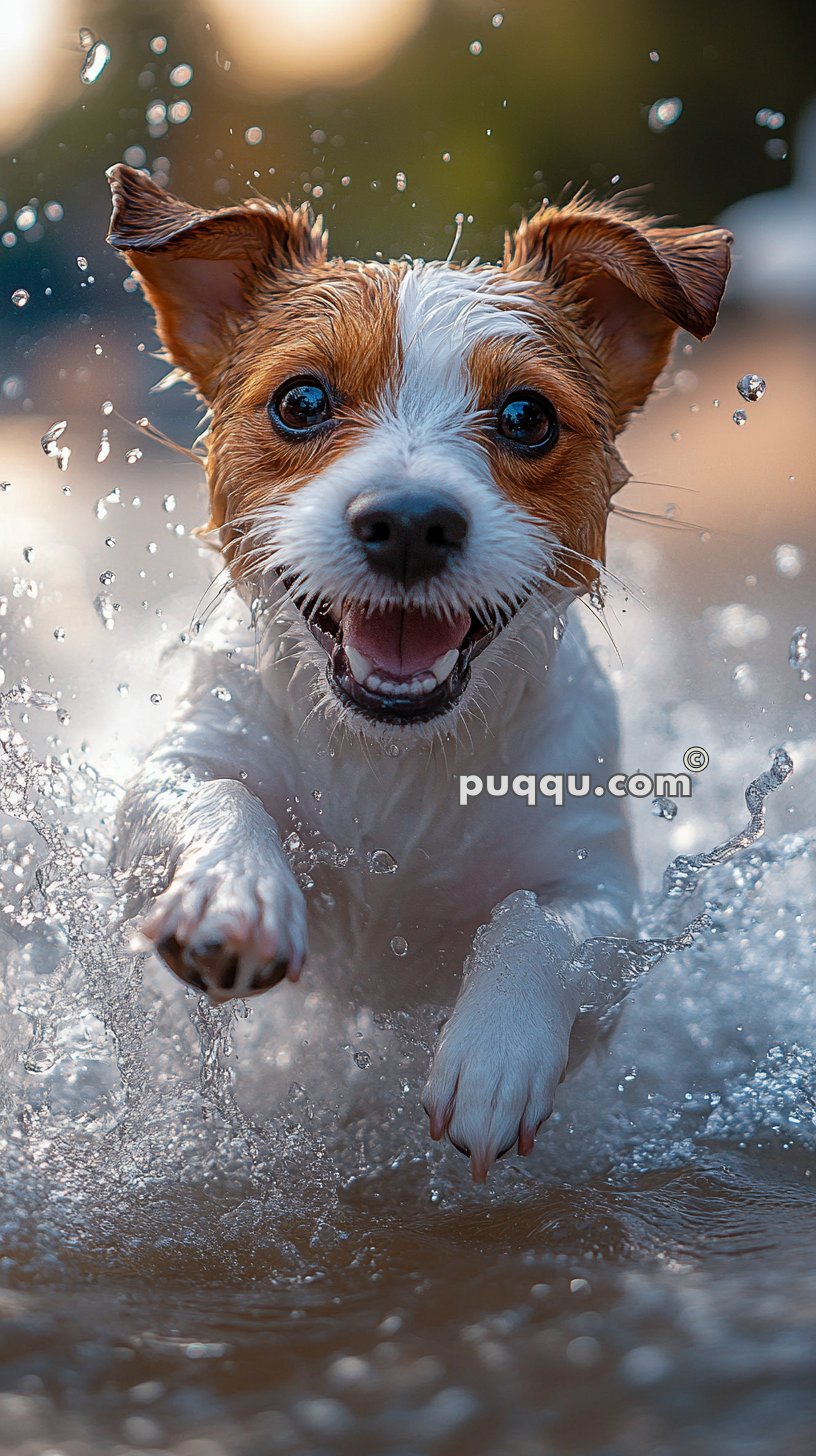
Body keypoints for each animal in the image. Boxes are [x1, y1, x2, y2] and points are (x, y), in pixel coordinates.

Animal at [103, 165, 734, 1176]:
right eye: (302, 402)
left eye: (526, 417)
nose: (407, 520)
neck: (393, 758)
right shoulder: (173, 775)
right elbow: (213, 796)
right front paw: (234, 894)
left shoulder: (600, 888)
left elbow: (541, 925)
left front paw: (496, 1048)